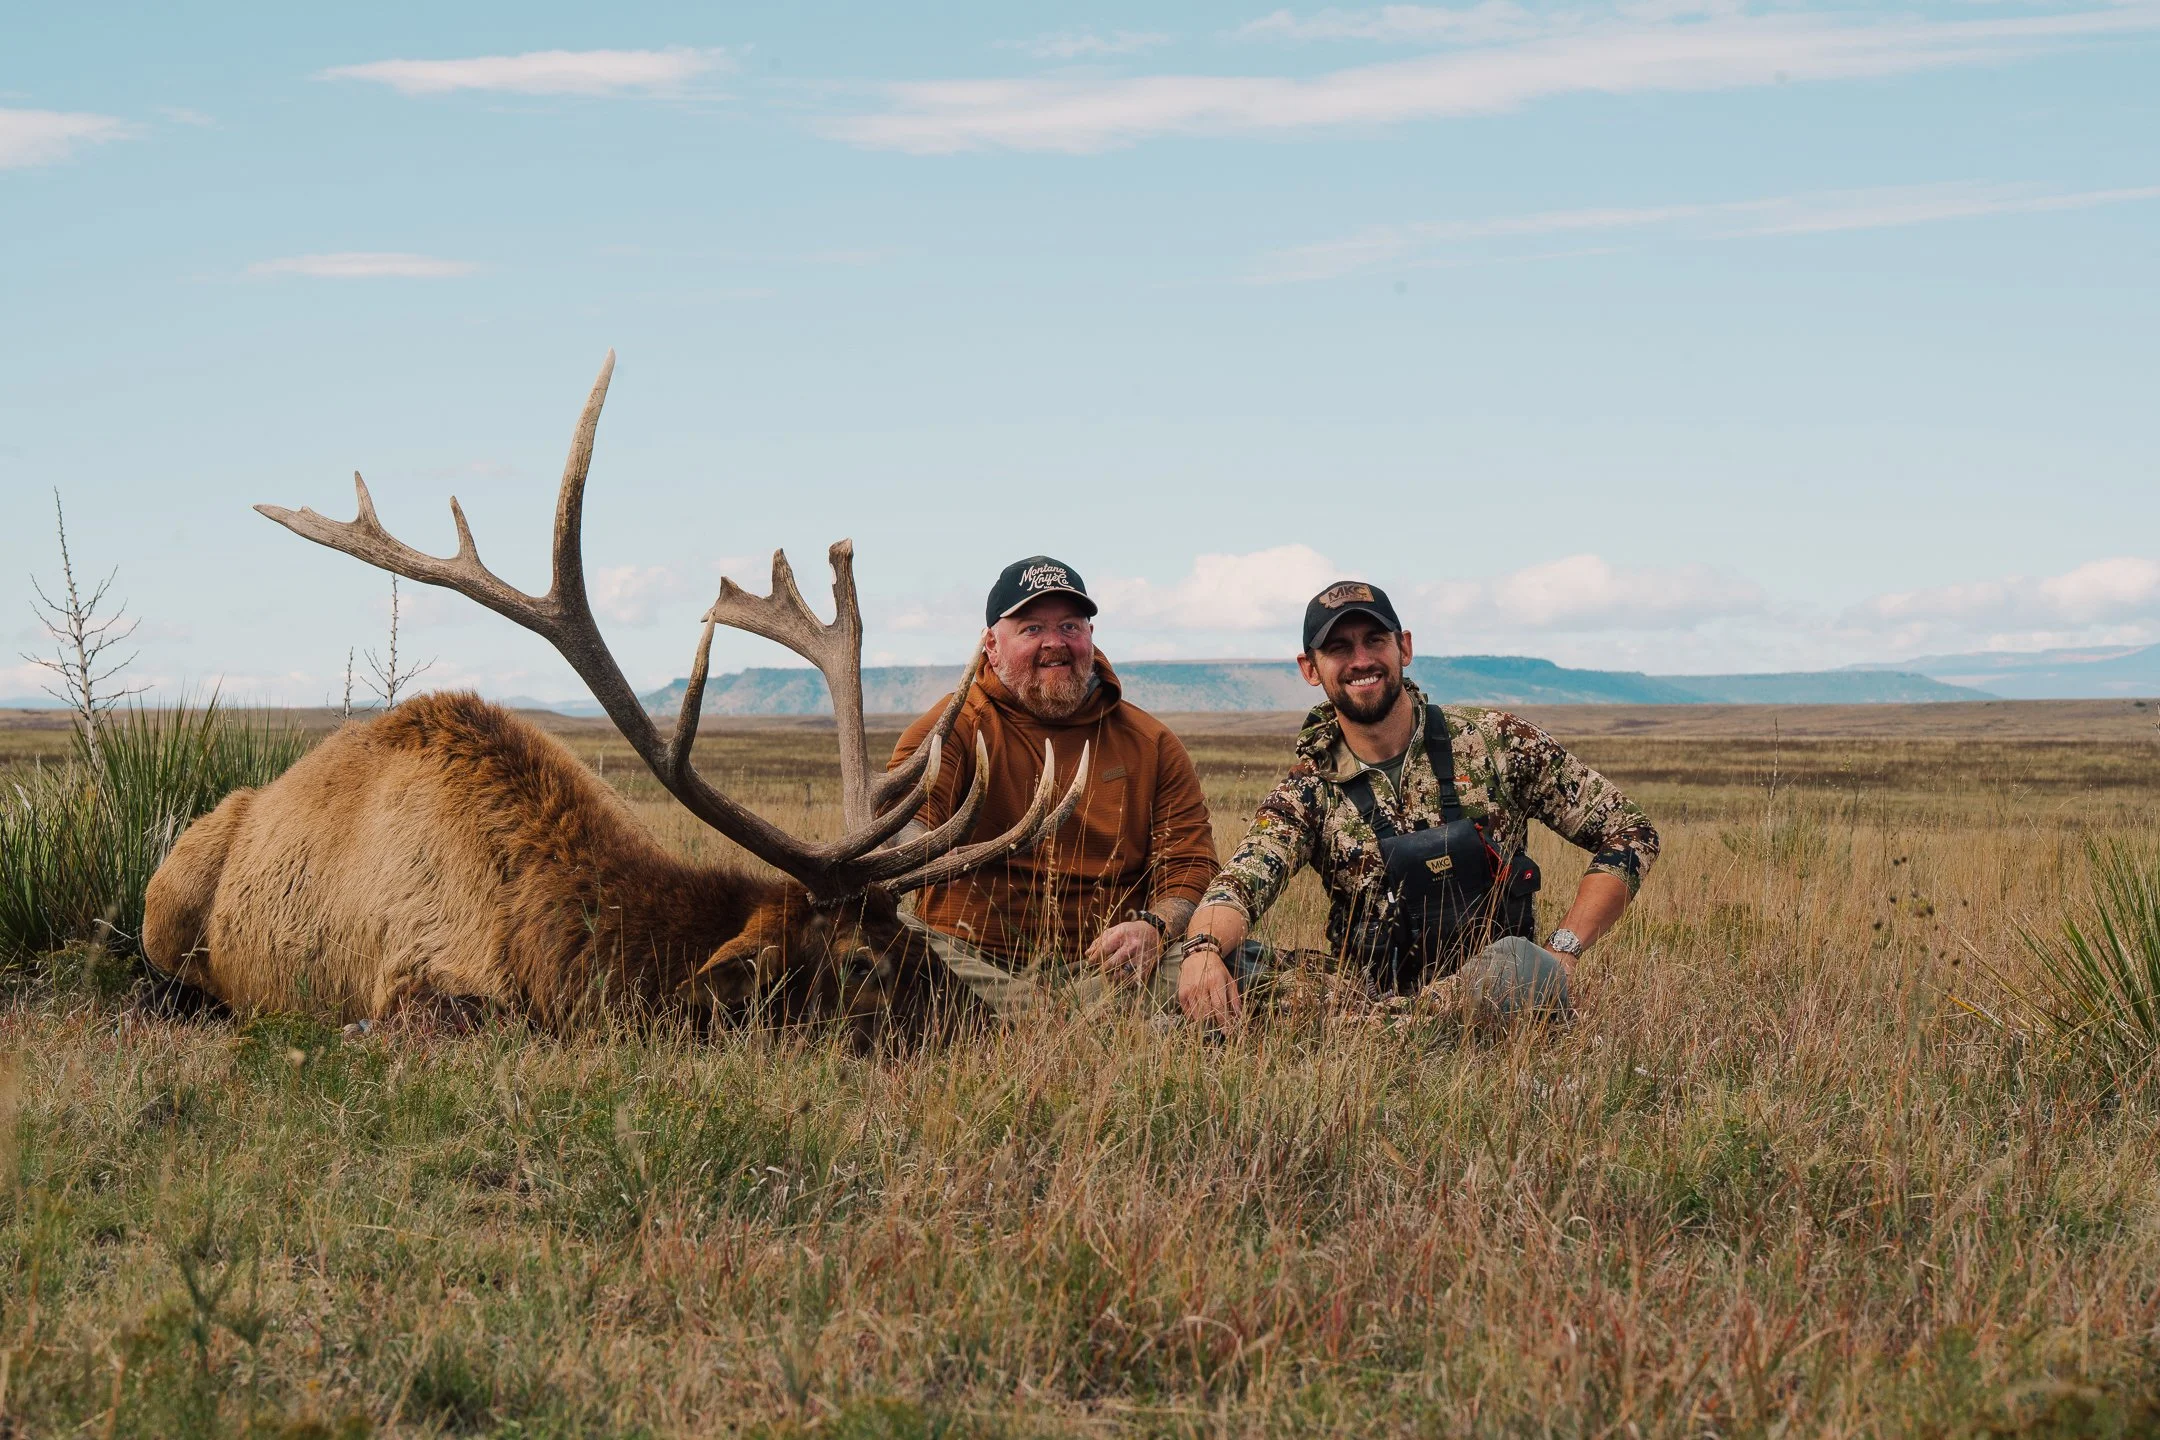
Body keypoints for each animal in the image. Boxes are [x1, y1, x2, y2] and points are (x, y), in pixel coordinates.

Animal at [141, 353, 1089, 1042]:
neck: (565, 941)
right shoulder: (418, 975)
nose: (1001, 1027)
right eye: (864, 964)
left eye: (919, 940)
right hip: (166, 901)